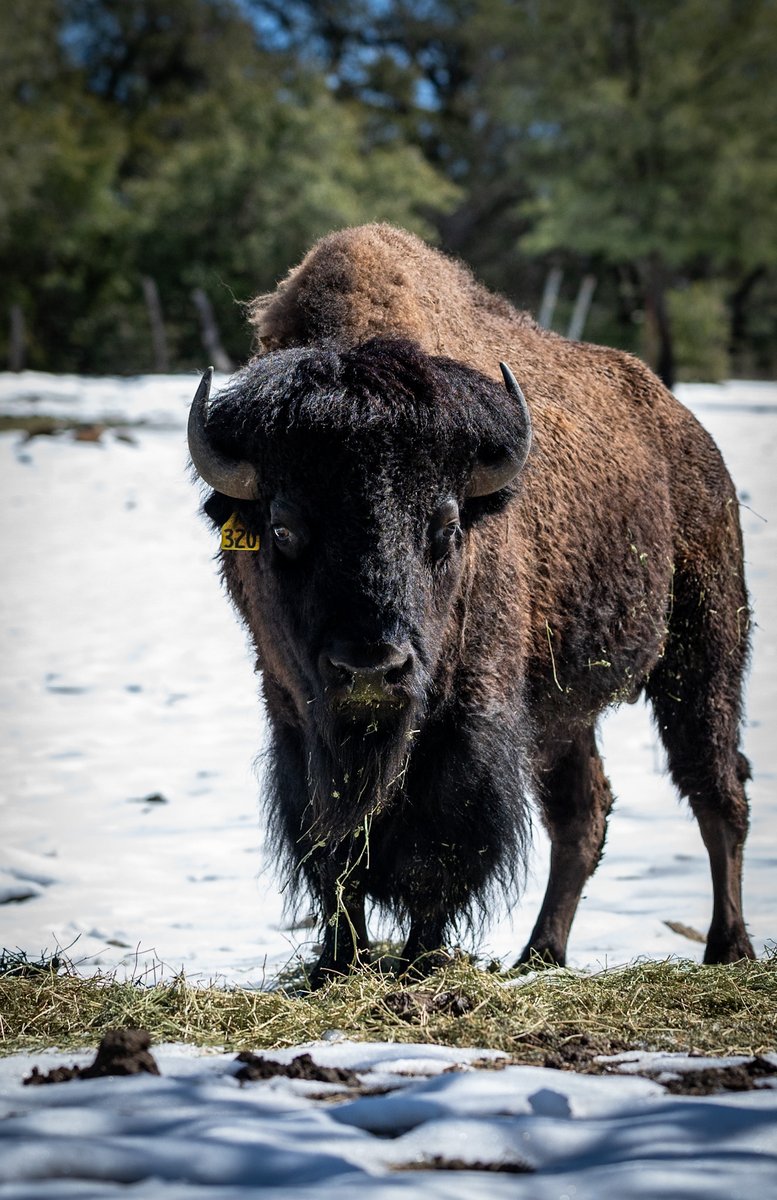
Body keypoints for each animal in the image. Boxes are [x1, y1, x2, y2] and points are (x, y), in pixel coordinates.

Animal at [189, 223, 754, 983]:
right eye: (282, 529)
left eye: (448, 526)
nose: (372, 668)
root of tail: (689, 435)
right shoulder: (294, 714)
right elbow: (334, 849)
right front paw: (337, 966)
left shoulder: (471, 719)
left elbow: (441, 849)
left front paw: (422, 962)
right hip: (563, 712)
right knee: (584, 814)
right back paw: (539, 954)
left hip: (702, 654)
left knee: (715, 790)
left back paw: (728, 947)